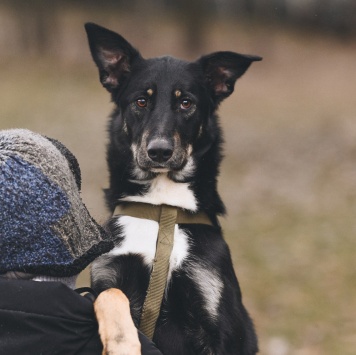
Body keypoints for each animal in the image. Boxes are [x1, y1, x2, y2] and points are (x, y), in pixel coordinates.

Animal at [85, 23, 260, 355]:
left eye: (186, 102)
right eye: (141, 101)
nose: (159, 151)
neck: (162, 208)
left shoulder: (217, 315)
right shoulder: (107, 278)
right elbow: (109, 296)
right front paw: (122, 341)